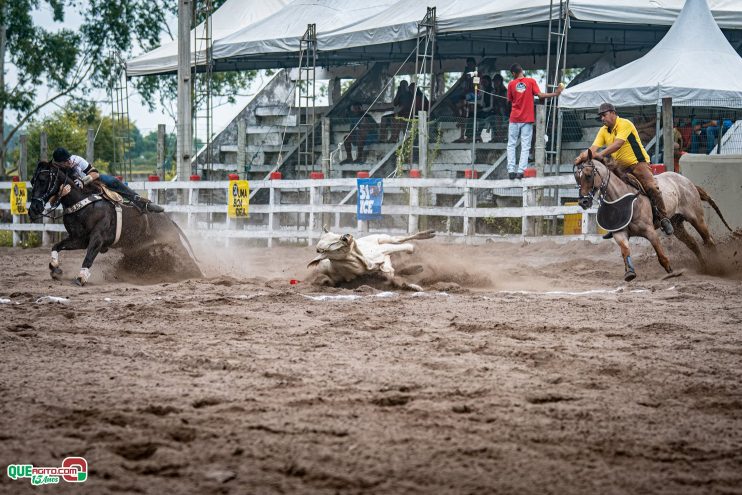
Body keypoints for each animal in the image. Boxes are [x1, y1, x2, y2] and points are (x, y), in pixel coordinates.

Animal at [306, 229, 436, 290]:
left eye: (334, 235)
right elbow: (392, 276)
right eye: (328, 247)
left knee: (401, 239)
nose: (346, 237)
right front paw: (412, 286)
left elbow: (408, 247)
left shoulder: (382, 250)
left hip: (383, 238)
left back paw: (428, 234)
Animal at [576, 150, 732, 282]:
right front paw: (630, 273)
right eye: (577, 178)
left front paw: (671, 272)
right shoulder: (619, 233)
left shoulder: (650, 231)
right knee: (693, 243)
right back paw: (705, 266)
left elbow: (661, 256)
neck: (623, 196)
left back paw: (718, 267)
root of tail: (686, 181)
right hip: (677, 225)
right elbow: (626, 251)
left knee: (709, 241)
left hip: (697, 218)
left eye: (588, 175)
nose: (583, 201)